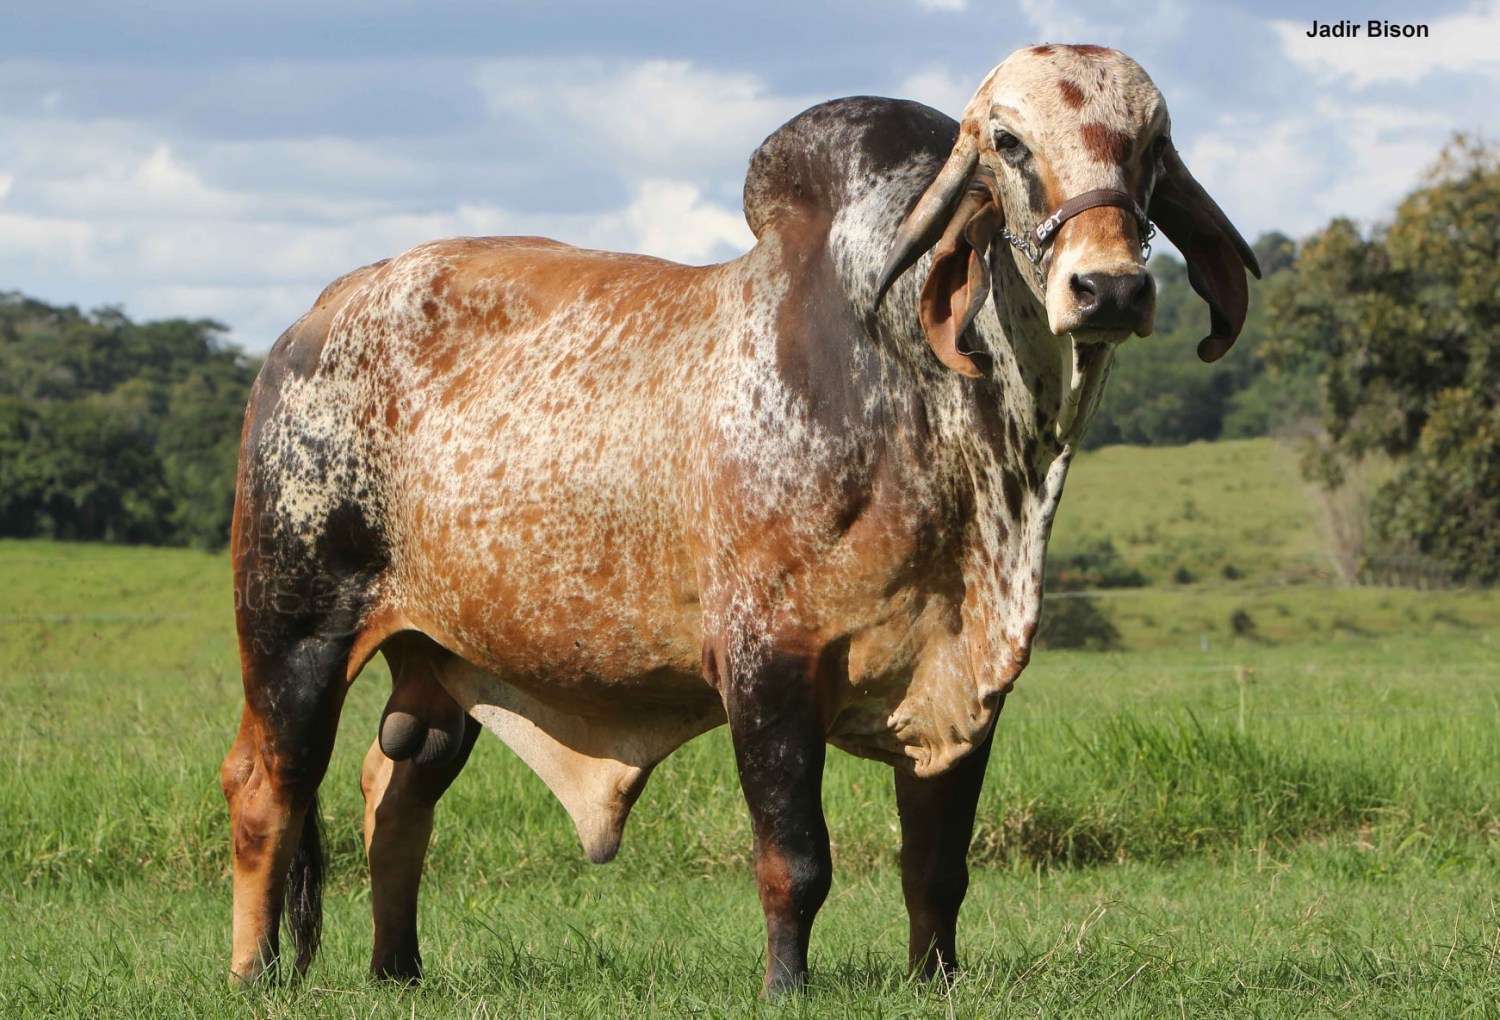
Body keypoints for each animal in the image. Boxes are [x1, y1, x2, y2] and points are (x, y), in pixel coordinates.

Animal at [222, 43, 1254, 990]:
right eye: (1008, 142)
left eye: (1155, 145)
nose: (1110, 288)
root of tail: (312, 316)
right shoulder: (768, 665)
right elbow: (795, 863)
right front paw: (786, 986)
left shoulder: (966, 683)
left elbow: (937, 871)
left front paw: (936, 981)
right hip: (296, 631)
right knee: (267, 788)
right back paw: (252, 973)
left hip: (441, 659)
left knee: (394, 791)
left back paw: (396, 970)